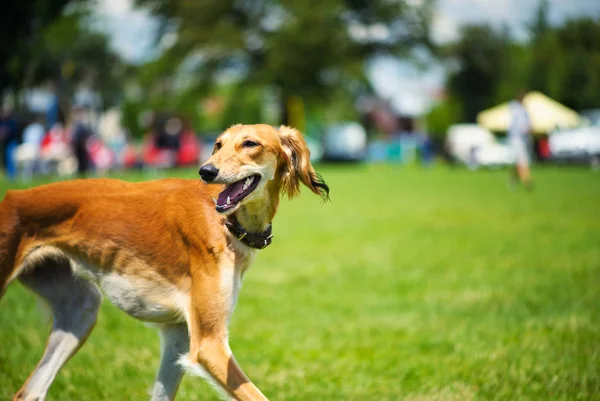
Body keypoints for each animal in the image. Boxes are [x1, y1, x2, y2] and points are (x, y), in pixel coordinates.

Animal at [0, 123, 328, 398]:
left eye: (250, 143)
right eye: (218, 144)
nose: (206, 171)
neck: (226, 223)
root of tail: (12, 197)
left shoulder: (178, 335)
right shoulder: (209, 345)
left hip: (79, 310)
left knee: (29, 391)